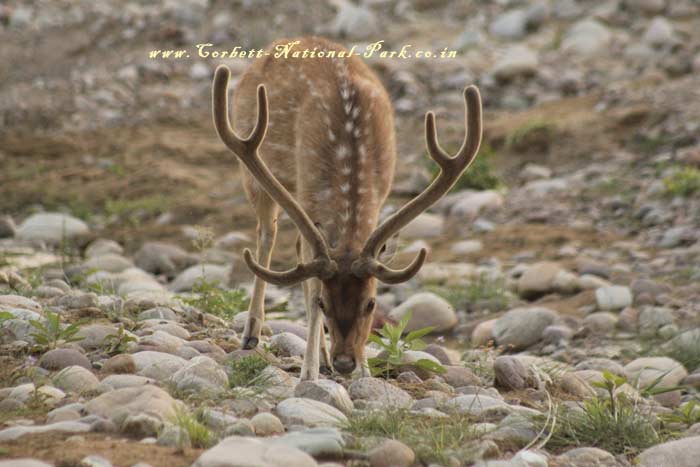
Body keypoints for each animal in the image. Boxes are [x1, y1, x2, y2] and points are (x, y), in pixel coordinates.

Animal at [212, 35, 482, 380]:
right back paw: (252, 333)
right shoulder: (308, 195)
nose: (344, 362)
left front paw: (364, 370)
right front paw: (308, 373)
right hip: (256, 174)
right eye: (324, 304)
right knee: (266, 235)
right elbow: (310, 280)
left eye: (371, 303)